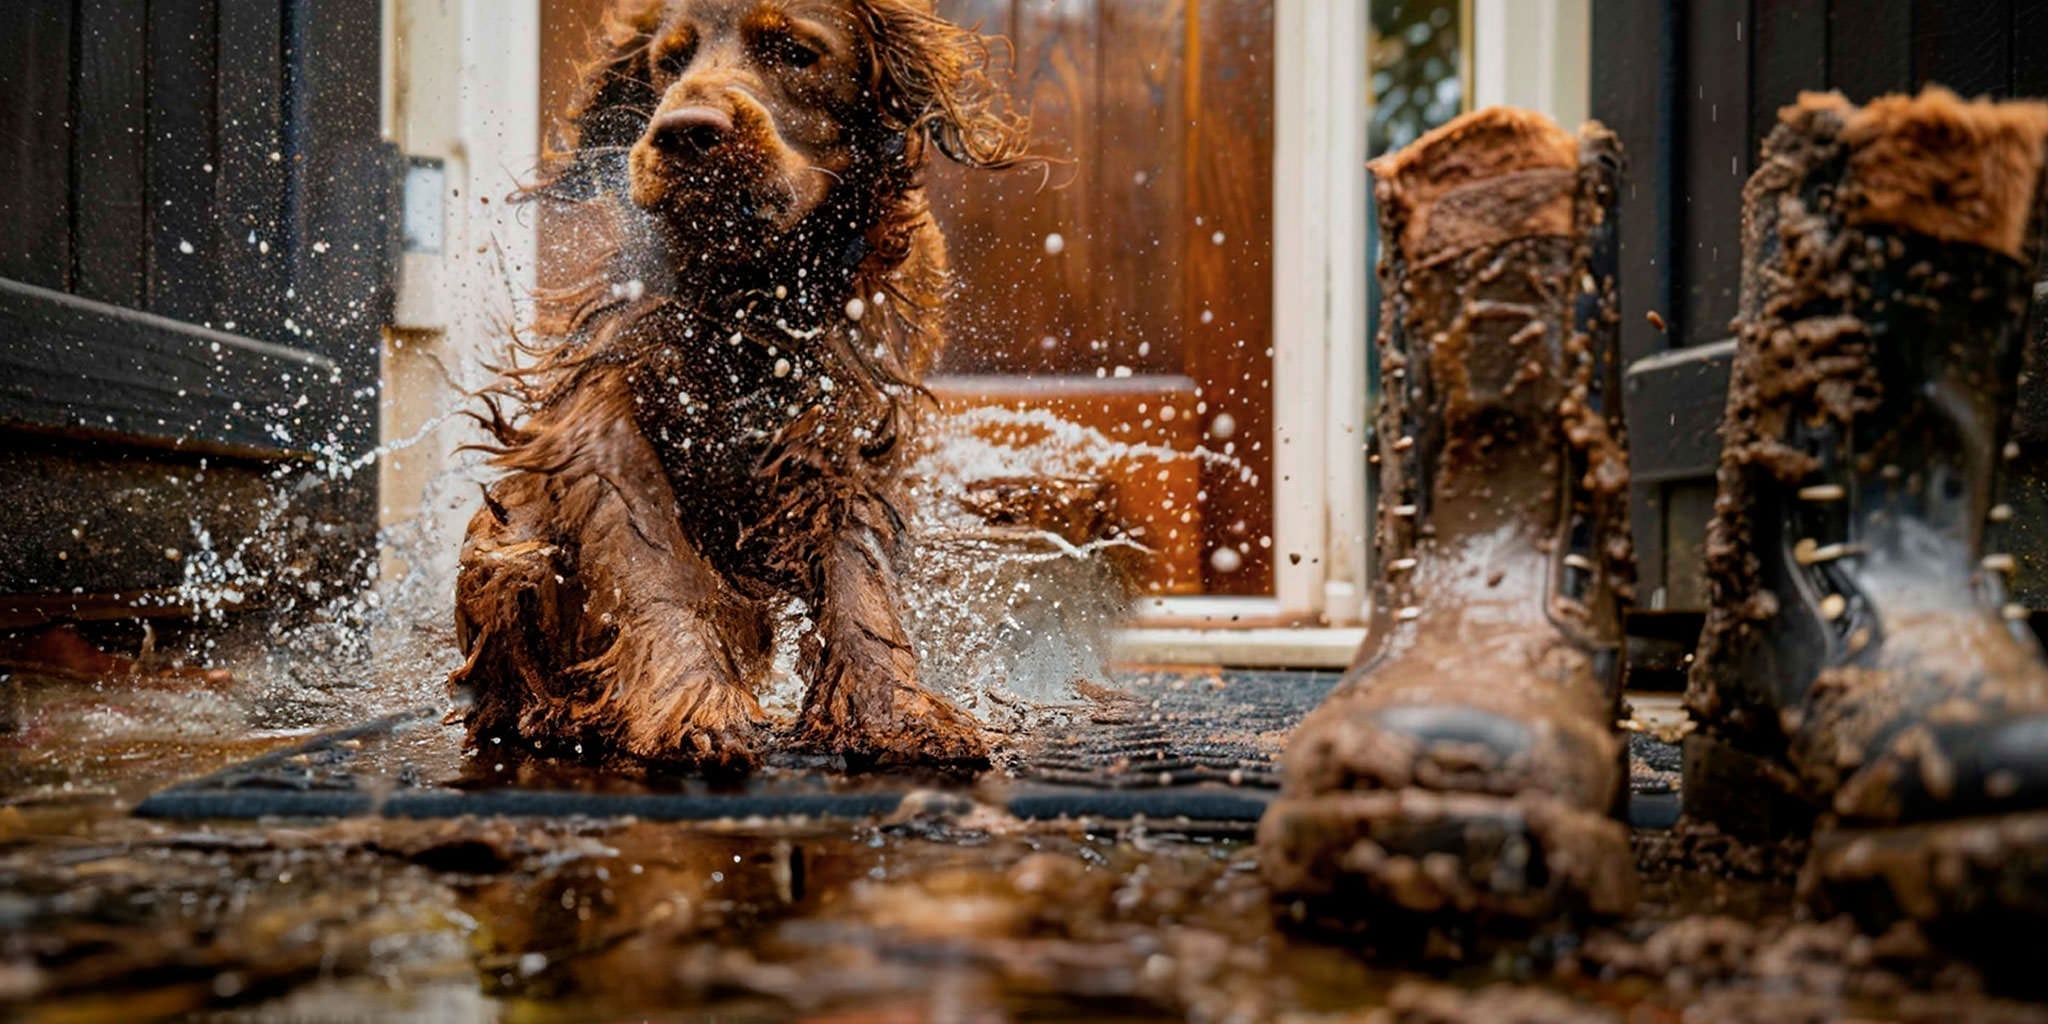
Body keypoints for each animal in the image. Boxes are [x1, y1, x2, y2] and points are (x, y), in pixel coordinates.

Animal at [448, 0, 1024, 770]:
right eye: (668, 60)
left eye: (794, 51)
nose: (685, 132)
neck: (749, 293)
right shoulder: (607, 416)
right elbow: (655, 565)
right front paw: (697, 706)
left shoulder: (843, 420)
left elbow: (860, 575)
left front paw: (894, 709)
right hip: (507, 546)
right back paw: (557, 715)